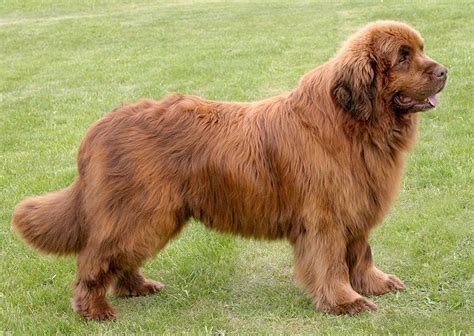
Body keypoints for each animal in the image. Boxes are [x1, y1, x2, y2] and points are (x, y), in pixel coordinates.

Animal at [12, 21, 446, 320]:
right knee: (95, 257)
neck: (353, 123)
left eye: (421, 49)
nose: (444, 71)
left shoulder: (356, 207)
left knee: (119, 257)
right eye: (403, 56)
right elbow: (332, 261)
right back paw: (94, 309)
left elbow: (361, 253)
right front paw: (344, 301)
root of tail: (98, 128)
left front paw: (374, 285)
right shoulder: (325, 216)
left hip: (149, 215)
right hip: (140, 212)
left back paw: (136, 287)